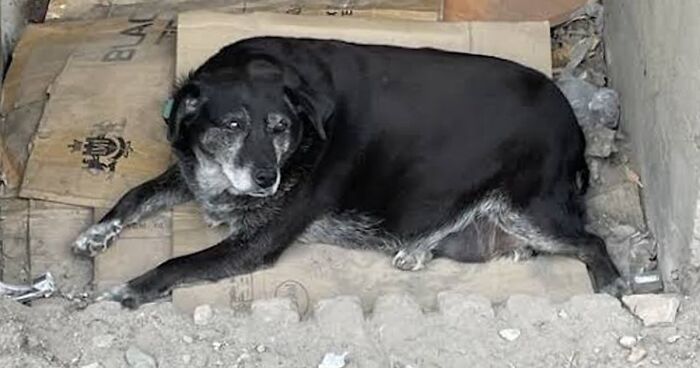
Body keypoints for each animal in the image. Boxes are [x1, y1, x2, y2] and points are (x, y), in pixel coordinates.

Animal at [74, 36, 628, 308]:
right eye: (233, 124)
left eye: (279, 127)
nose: (267, 180)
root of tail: (573, 124)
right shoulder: (191, 170)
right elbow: (136, 194)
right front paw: (98, 231)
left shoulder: (255, 243)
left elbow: (177, 263)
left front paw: (130, 289)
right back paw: (418, 250)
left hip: (530, 210)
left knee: (592, 241)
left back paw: (611, 283)